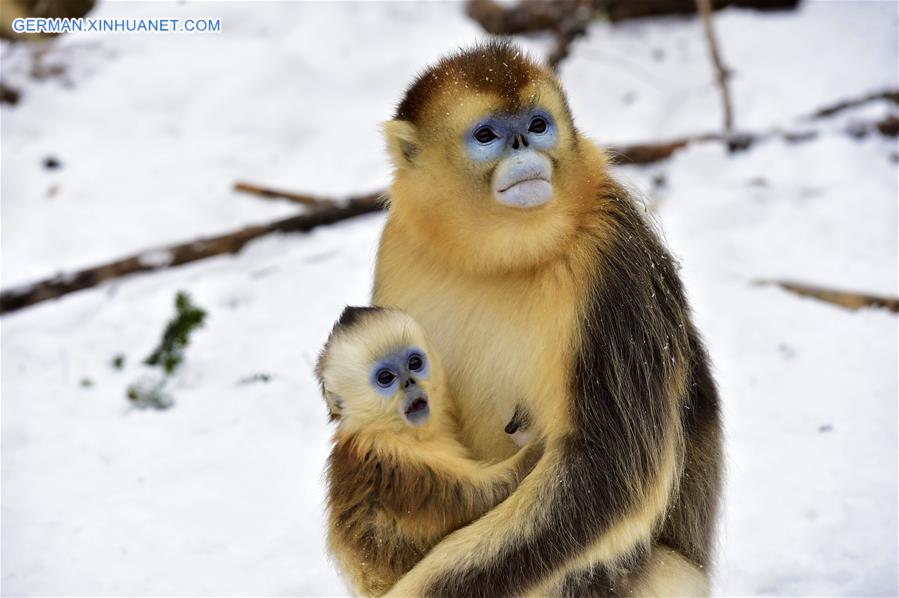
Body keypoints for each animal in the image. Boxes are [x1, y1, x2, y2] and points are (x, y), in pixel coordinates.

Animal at [316, 308, 540, 596]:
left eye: (414, 363)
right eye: (385, 378)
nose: (410, 383)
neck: (396, 431)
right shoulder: (396, 463)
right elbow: (478, 496)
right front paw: (539, 443)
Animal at [372, 41, 724, 596]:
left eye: (538, 125)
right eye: (488, 135)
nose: (522, 144)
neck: (502, 262)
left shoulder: (614, 266)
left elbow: (605, 471)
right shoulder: (398, 247)